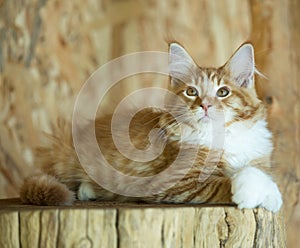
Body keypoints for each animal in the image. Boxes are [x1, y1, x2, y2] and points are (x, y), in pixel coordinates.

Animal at [19, 41, 282, 212]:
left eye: (223, 92)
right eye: (191, 92)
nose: (205, 105)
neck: (222, 136)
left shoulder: (259, 158)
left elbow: (258, 173)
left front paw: (269, 195)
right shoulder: (178, 181)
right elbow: (222, 183)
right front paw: (250, 191)